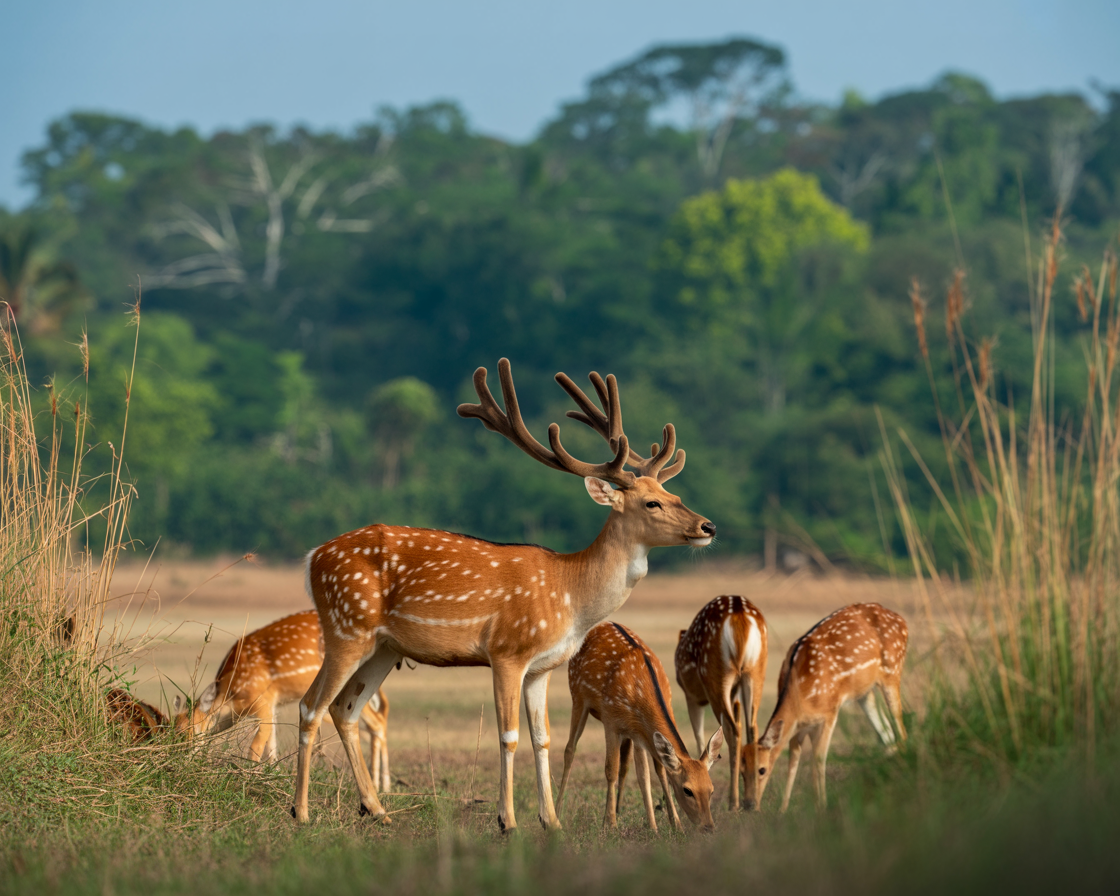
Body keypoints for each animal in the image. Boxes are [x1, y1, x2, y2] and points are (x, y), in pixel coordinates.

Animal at [174, 610, 390, 788]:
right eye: (172, 729)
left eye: (190, 732)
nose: (179, 759)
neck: (233, 692)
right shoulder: (272, 706)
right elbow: (272, 747)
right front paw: (273, 777)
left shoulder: (262, 703)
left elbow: (255, 749)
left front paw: (248, 778)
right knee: (378, 718)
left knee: (376, 721)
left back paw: (381, 786)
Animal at [556, 621, 724, 832]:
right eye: (688, 790)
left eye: (711, 790)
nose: (708, 826)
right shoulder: (611, 721)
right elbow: (611, 769)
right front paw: (610, 825)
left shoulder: (640, 733)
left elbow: (650, 774)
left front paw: (671, 825)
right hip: (578, 697)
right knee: (570, 750)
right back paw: (555, 815)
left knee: (626, 764)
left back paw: (619, 810)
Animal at [674, 594, 768, 811]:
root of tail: (739, 615)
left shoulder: (691, 696)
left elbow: (699, 738)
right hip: (754, 673)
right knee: (751, 727)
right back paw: (752, 801)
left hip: (715, 675)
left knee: (732, 730)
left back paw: (734, 802)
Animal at [742, 602, 908, 813]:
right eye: (740, 770)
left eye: (761, 769)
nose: (748, 804)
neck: (800, 695)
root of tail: (902, 620)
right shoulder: (801, 727)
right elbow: (793, 760)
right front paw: (783, 810)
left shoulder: (830, 711)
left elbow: (819, 758)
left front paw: (822, 807)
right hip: (864, 693)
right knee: (888, 735)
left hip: (892, 671)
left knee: (901, 731)